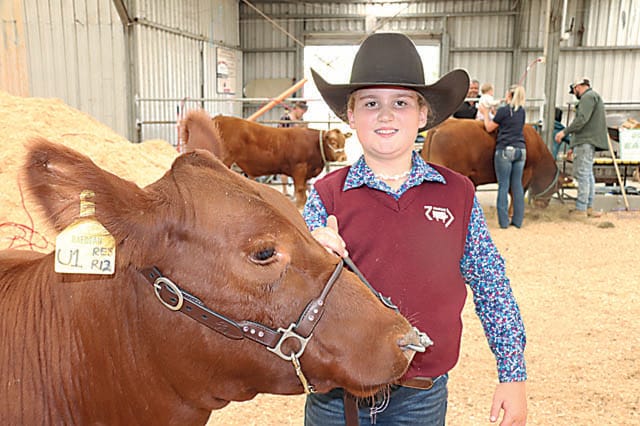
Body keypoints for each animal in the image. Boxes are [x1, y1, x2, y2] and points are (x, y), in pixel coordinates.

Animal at [181, 110, 350, 209]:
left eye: (344, 141)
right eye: (333, 142)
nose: (343, 157)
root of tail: (217, 119)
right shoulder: (299, 169)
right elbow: (300, 193)